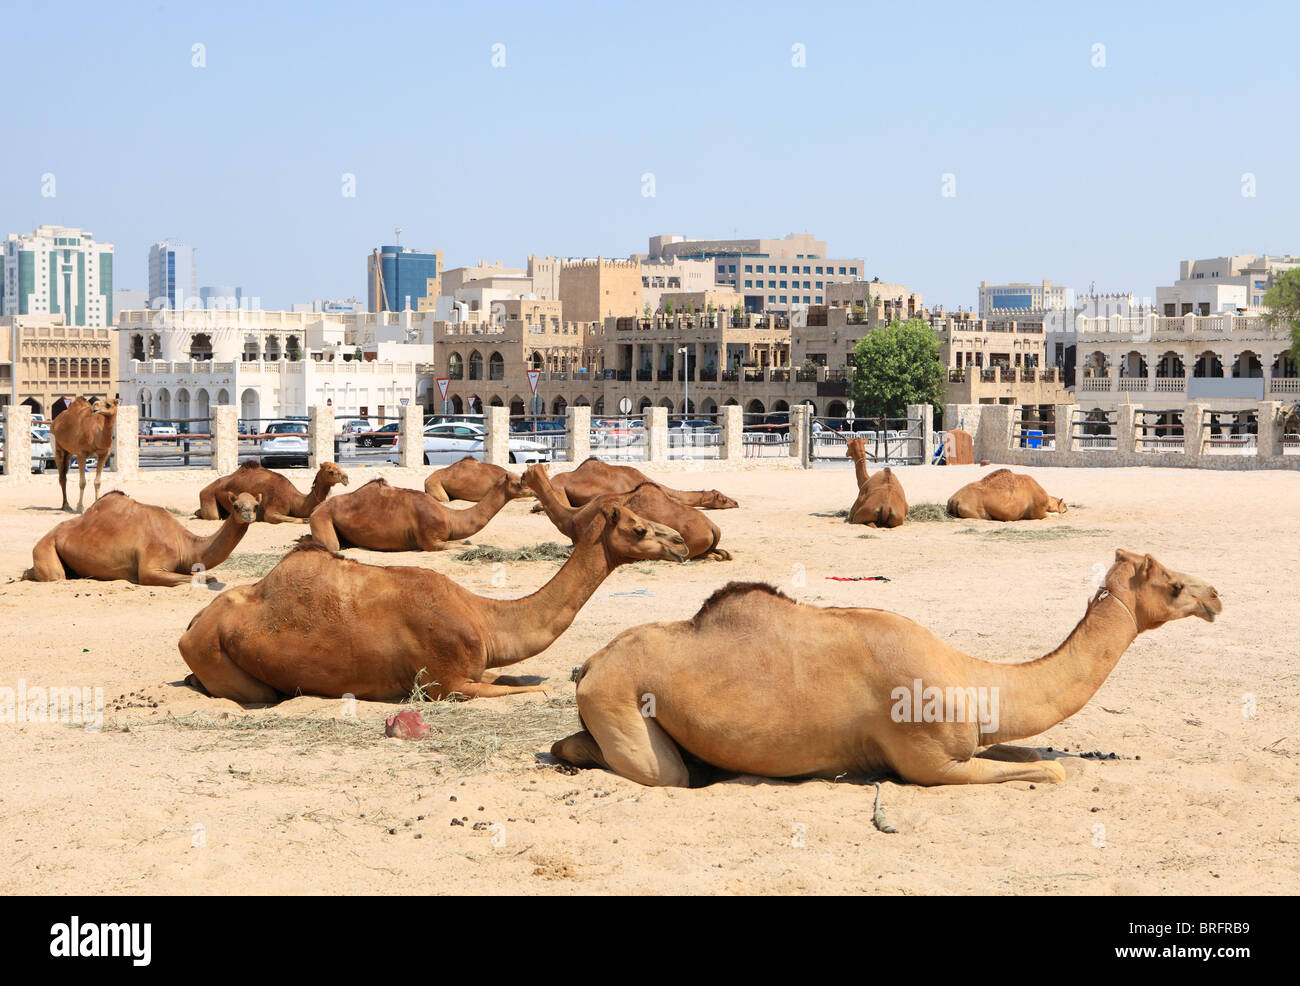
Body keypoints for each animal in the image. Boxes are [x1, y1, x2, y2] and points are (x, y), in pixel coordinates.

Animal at [23, 490, 260, 586]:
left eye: (256, 505)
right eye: (236, 505)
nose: (248, 514)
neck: (183, 543)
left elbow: (205, 576)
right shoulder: (151, 568)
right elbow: (203, 578)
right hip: (46, 547)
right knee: (55, 576)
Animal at [178, 502, 690, 703]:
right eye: (639, 528)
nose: (681, 542)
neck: (484, 619)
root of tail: (192, 626)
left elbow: (513, 677)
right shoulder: (449, 682)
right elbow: (529, 690)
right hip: (221, 659)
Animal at [196, 460, 349, 524]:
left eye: (338, 466)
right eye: (330, 471)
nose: (346, 477)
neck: (292, 498)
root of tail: (203, 489)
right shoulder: (272, 510)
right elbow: (297, 519)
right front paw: (305, 520)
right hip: (208, 496)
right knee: (214, 516)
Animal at [308, 475, 525, 552]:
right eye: (518, 482)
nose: (529, 488)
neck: (449, 517)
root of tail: (316, 508)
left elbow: (466, 542)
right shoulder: (430, 540)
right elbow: (457, 545)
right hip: (322, 518)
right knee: (332, 545)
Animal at [552, 550, 1222, 788]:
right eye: (1173, 583)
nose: (1215, 595)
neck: (970, 678)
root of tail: (588, 665)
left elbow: (1028, 753)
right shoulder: (928, 763)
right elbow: (1046, 771)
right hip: (619, 697)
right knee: (658, 771)